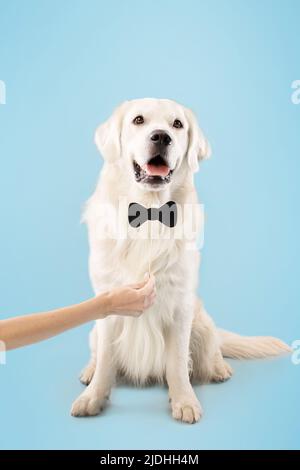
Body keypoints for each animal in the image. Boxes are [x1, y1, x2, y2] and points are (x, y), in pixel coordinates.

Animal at [71, 98, 290, 422]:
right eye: (138, 120)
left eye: (177, 124)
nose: (161, 137)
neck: (149, 211)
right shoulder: (110, 303)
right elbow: (107, 359)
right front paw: (93, 397)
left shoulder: (179, 305)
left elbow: (175, 363)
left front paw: (184, 401)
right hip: (94, 329)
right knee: (97, 352)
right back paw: (89, 371)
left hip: (202, 323)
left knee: (209, 351)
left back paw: (219, 368)